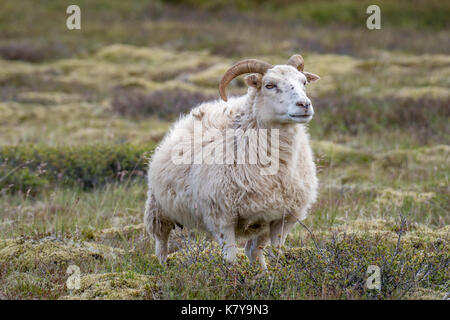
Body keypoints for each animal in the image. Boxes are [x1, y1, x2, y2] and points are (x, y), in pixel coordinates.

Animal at [144, 53, 320, 268]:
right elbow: (230, 259)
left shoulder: (283, 218)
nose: (304, 105)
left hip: (262, 221)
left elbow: (277, 254)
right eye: (269, 85)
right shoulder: (221, 217)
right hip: (158, 209)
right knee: (161, 242)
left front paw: (277, 274)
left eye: (304, 82)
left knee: (254, 250)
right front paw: (233, 277)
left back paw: (262, 272)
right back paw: (163, 268)